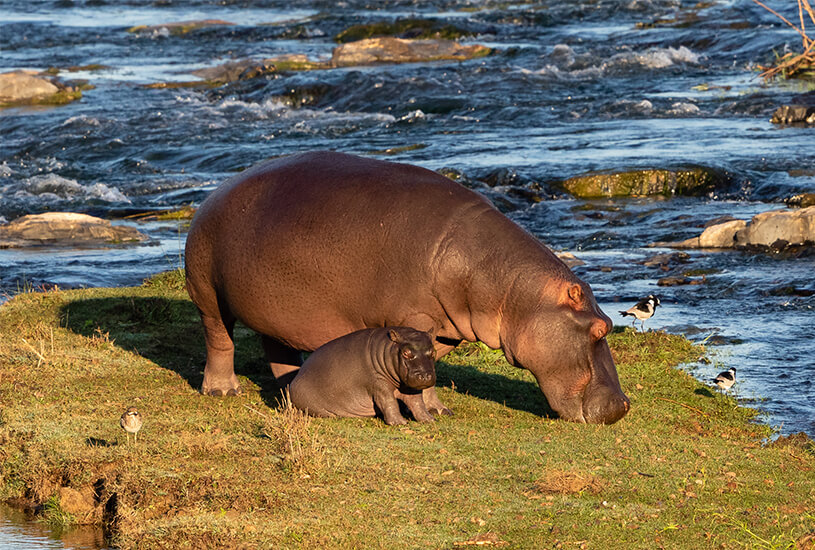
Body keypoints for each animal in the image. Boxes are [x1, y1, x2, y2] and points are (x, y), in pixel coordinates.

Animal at [288, 328, 436, 426]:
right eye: (406, 352)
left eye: (433, 351)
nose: (425, 375)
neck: (388, 349)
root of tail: (297, 376)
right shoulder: (379, 385)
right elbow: (389, 402)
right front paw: (400, 423)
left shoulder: (409, 386)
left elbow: (418, 402)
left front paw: (430, 419)